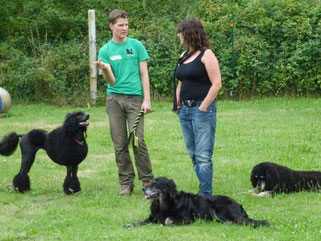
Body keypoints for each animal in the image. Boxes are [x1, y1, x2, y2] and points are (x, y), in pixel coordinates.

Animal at [124, 177, 268, 228]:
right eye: (150, 182)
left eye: (155, 183)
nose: (143, 189)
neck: (162, 204)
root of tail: (239, 204)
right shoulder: (152, 217)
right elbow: (139, 221)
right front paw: (129, 224)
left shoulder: (188, 218)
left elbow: (167, 220)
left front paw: (166, 224)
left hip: (220, 209)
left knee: (240, 221)